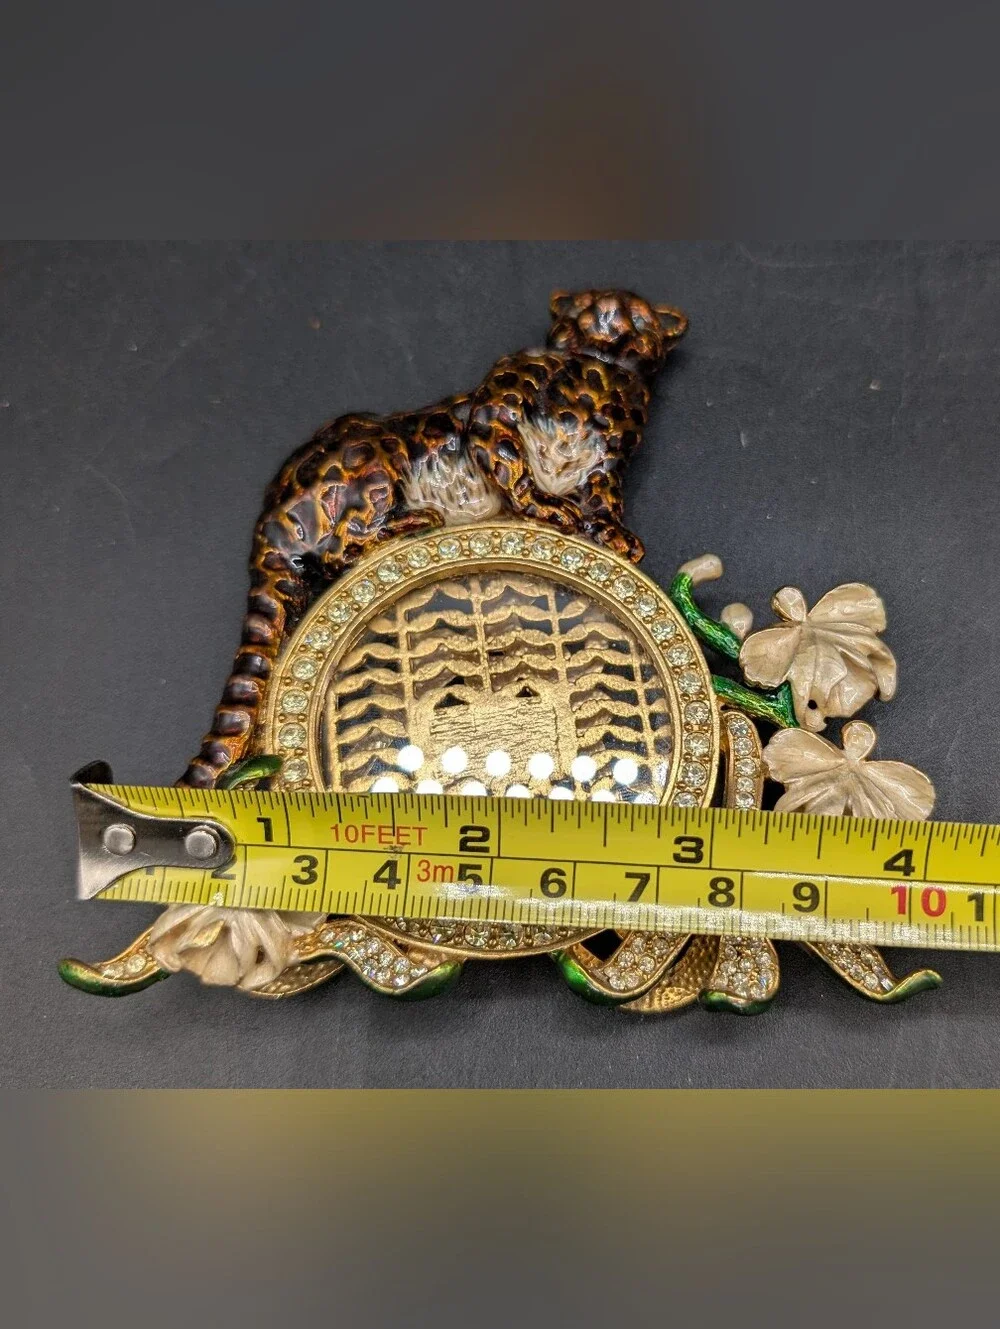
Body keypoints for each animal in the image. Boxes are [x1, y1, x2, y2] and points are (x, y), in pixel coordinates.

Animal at [180, 289, 688, 788]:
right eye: (585, 306)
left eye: (635, 314)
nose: (606, 314)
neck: (597, 369)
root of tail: (268, 522)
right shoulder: (497, 413)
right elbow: (511, 462)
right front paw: (544, 505)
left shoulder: (606, 463)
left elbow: (602, 497)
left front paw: (610, 531)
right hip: (374, 458)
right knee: (342, 547)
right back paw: (409, 522)